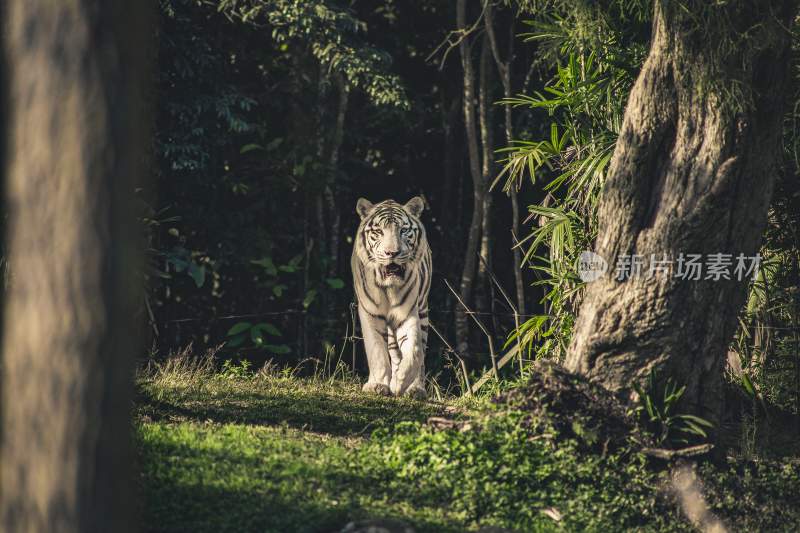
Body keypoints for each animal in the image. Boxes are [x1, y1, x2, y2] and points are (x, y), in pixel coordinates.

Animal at [350, 197, 432, 396]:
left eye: (403, 230)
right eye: (378, 231)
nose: (392, 253)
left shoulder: (407, 313)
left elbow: (415, 350)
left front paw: (400, 382)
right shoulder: (370, 313)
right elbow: (377, 350)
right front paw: (378, 385)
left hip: (423, 310)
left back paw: (416, 389)